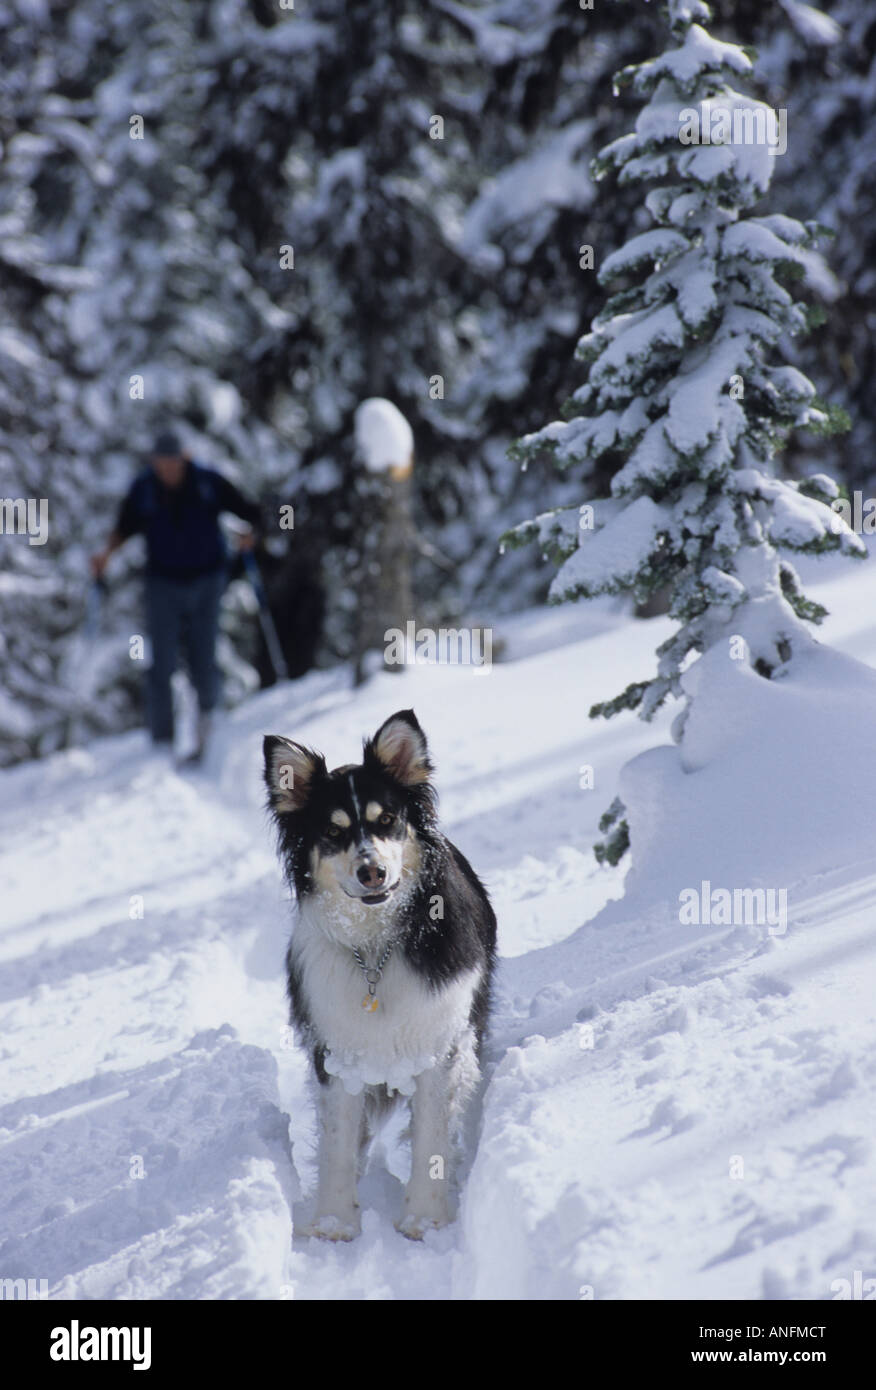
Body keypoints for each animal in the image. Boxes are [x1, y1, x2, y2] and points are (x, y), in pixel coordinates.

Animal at [264, 711, 497, 1245]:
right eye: (332, 832)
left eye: (387, 820)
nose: (371, 872)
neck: (375, 946)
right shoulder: (337, 1049)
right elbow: (337, 1141)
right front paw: (333, 1222)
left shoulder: (440, 1040)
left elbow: (431, 1136)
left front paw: (425, 1219)